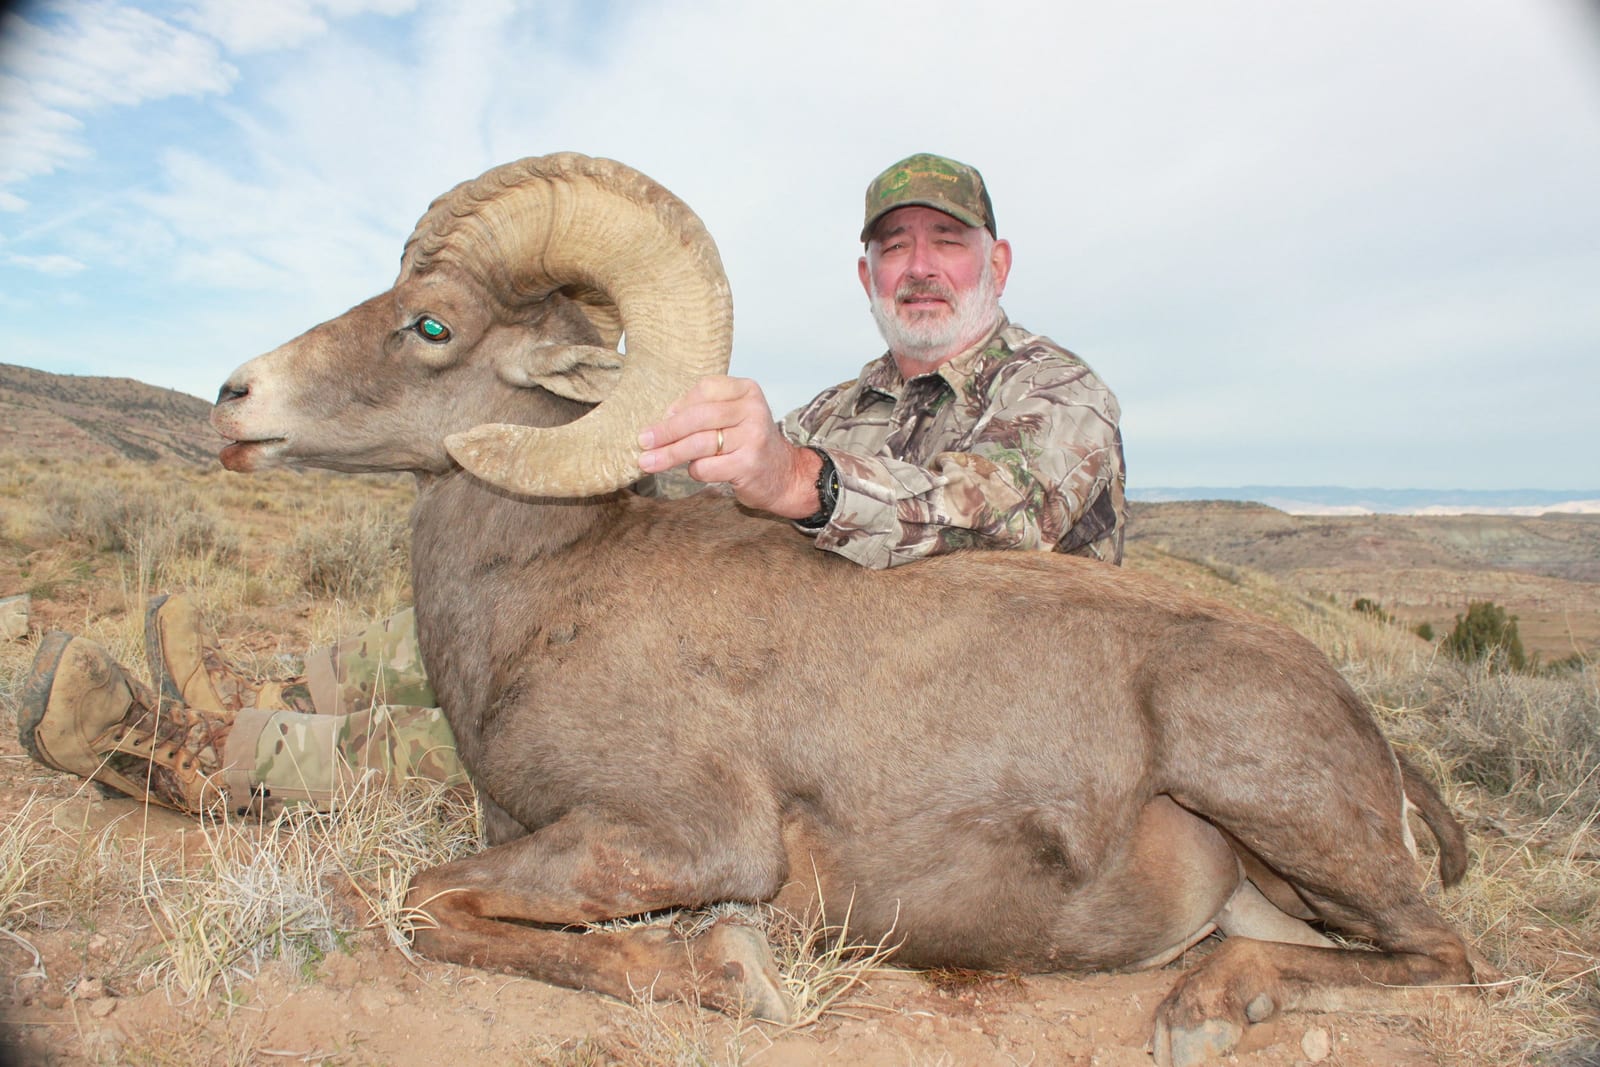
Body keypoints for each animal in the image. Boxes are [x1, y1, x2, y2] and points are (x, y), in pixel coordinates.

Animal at [210, 153, 1480, 1067]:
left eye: (431, 324)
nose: (232, 399)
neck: (551, 590)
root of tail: (1368, 739)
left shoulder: (686, 838)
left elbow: (424, 903)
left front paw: (729, 970)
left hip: (1285, 811)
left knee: (1443, 952)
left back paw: (1206, 1006)